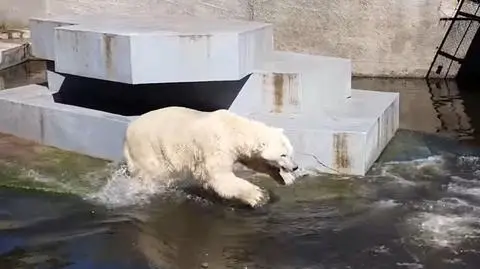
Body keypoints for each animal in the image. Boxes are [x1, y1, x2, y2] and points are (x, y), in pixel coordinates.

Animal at [123, 105, 296, 206]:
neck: (234, 129)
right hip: (149, 147)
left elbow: (254, 161)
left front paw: (285, 178)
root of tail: (127, 132)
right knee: (153, 173)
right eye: (283, 154)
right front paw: (259, 196)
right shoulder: (217, 146)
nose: (295, 167)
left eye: (290, 152)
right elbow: (219, 177)